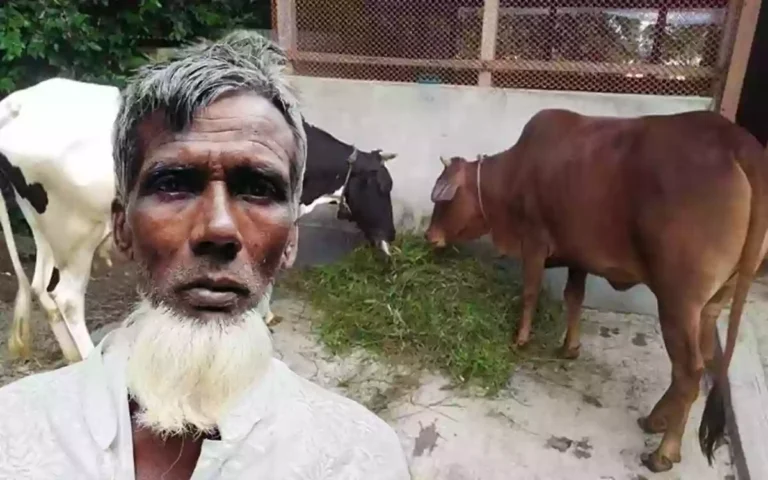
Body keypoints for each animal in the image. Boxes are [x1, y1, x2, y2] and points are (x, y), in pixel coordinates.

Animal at [424, 108, 768, 474]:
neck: (515, 173)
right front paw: (569, 347)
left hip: (678, 302)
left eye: (445, 199)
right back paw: (656, 419)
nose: (429, 236)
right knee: (695, 365)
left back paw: (663, 451)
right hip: (711, 304)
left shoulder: (534, 241)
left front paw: (520, 339)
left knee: (689, 372)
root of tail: (739, 143)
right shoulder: (578, 257)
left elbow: (530, 291)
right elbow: (574, 298)